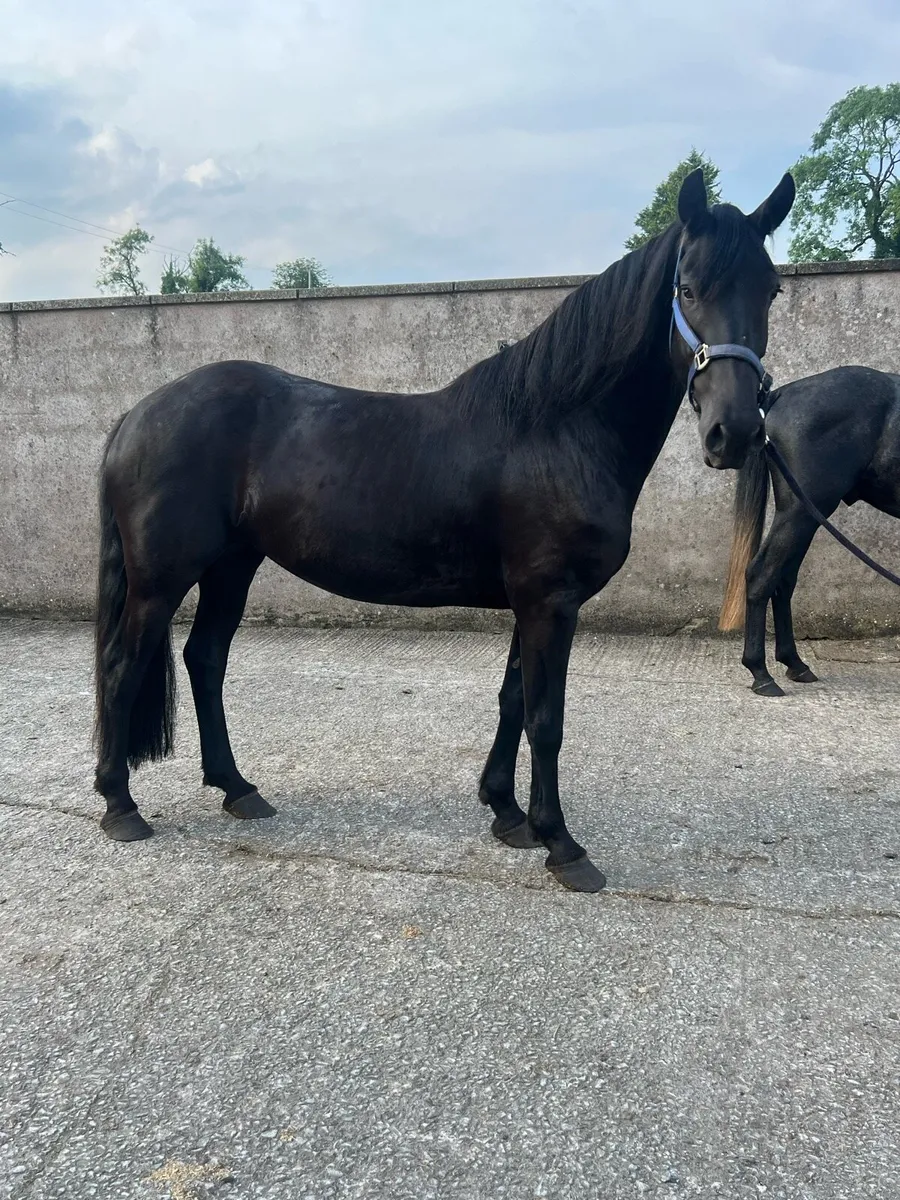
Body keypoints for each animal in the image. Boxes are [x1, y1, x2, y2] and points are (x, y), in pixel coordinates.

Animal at [93, 167, 794, 892]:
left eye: (770, 289)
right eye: (688, 289)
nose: (735, 432)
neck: (558, 430)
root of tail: (136, 415)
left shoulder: (533, 602)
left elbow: (513, 700)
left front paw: (507, 813)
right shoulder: (551, 602)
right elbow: (546, 719)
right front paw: (563, 844)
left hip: (232, 566)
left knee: (205, 660)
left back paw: (238, 788)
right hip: (161, 579)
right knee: (122, 666)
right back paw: (121, 805)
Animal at [719, 364, 900, 696]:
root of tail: (781, 395)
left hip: (805, 515)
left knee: (783, 580)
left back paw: (794, 663)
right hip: (800, 512)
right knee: (762, 574)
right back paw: (761, 672)